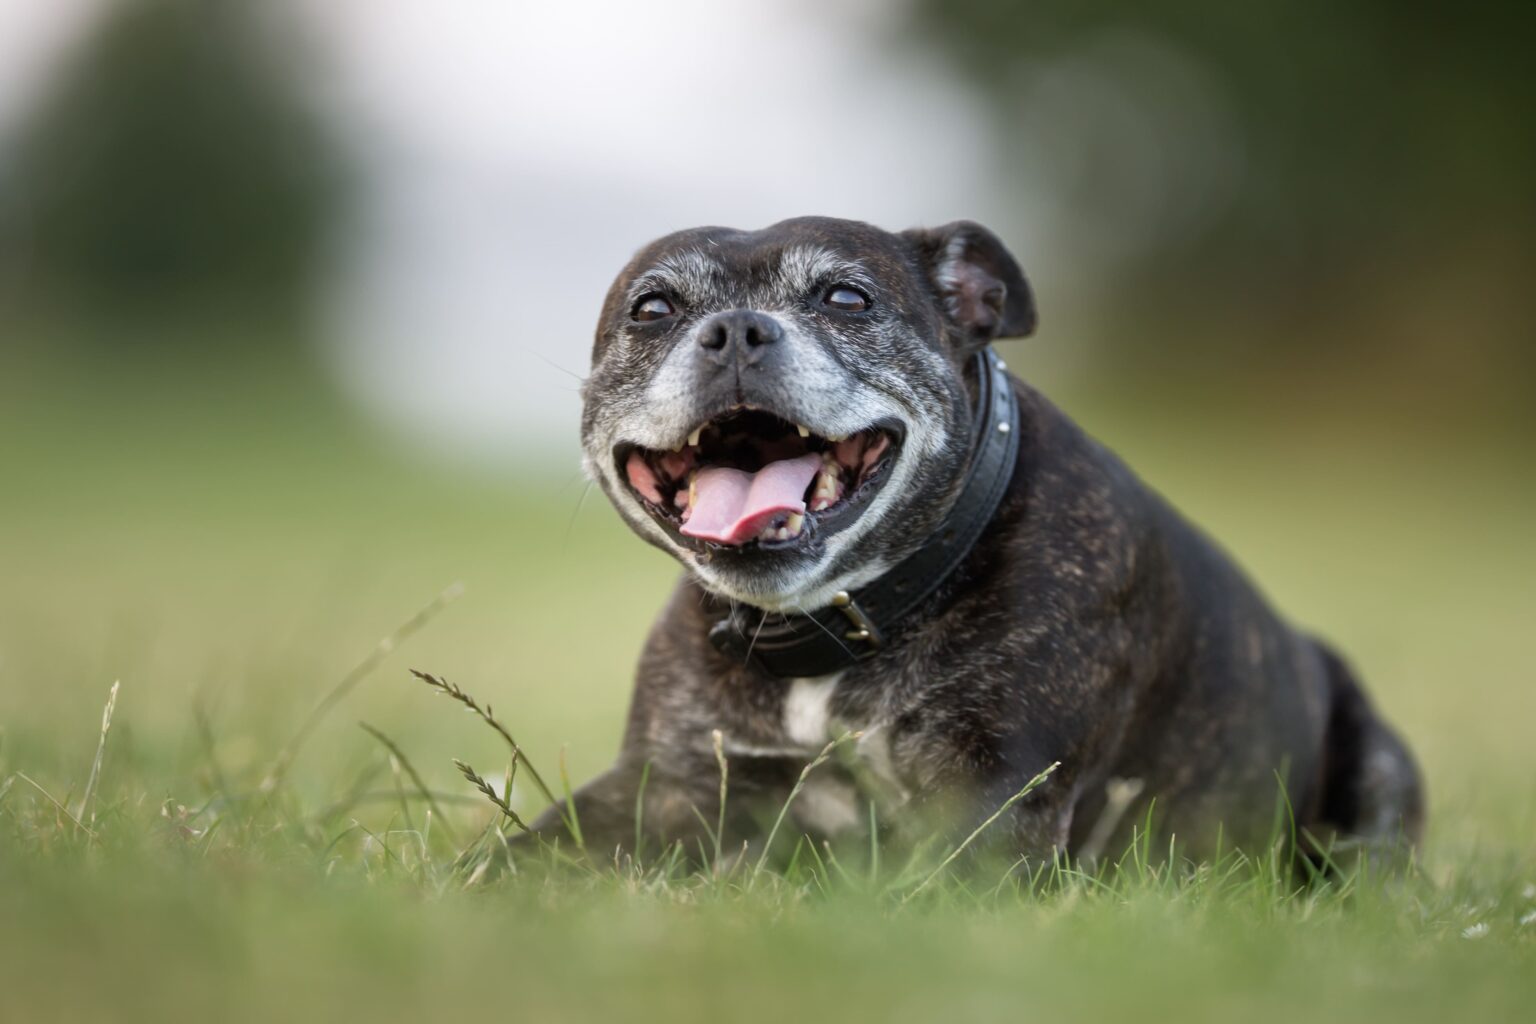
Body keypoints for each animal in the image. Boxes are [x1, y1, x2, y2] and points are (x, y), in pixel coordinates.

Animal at [531, 221, 1425, 872]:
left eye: (846, 297)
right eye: (653, 310)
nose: (735, 329)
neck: (843, 622)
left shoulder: (995, 802)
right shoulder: (664, 785)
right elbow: (522, 860)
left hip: (1375, 780)